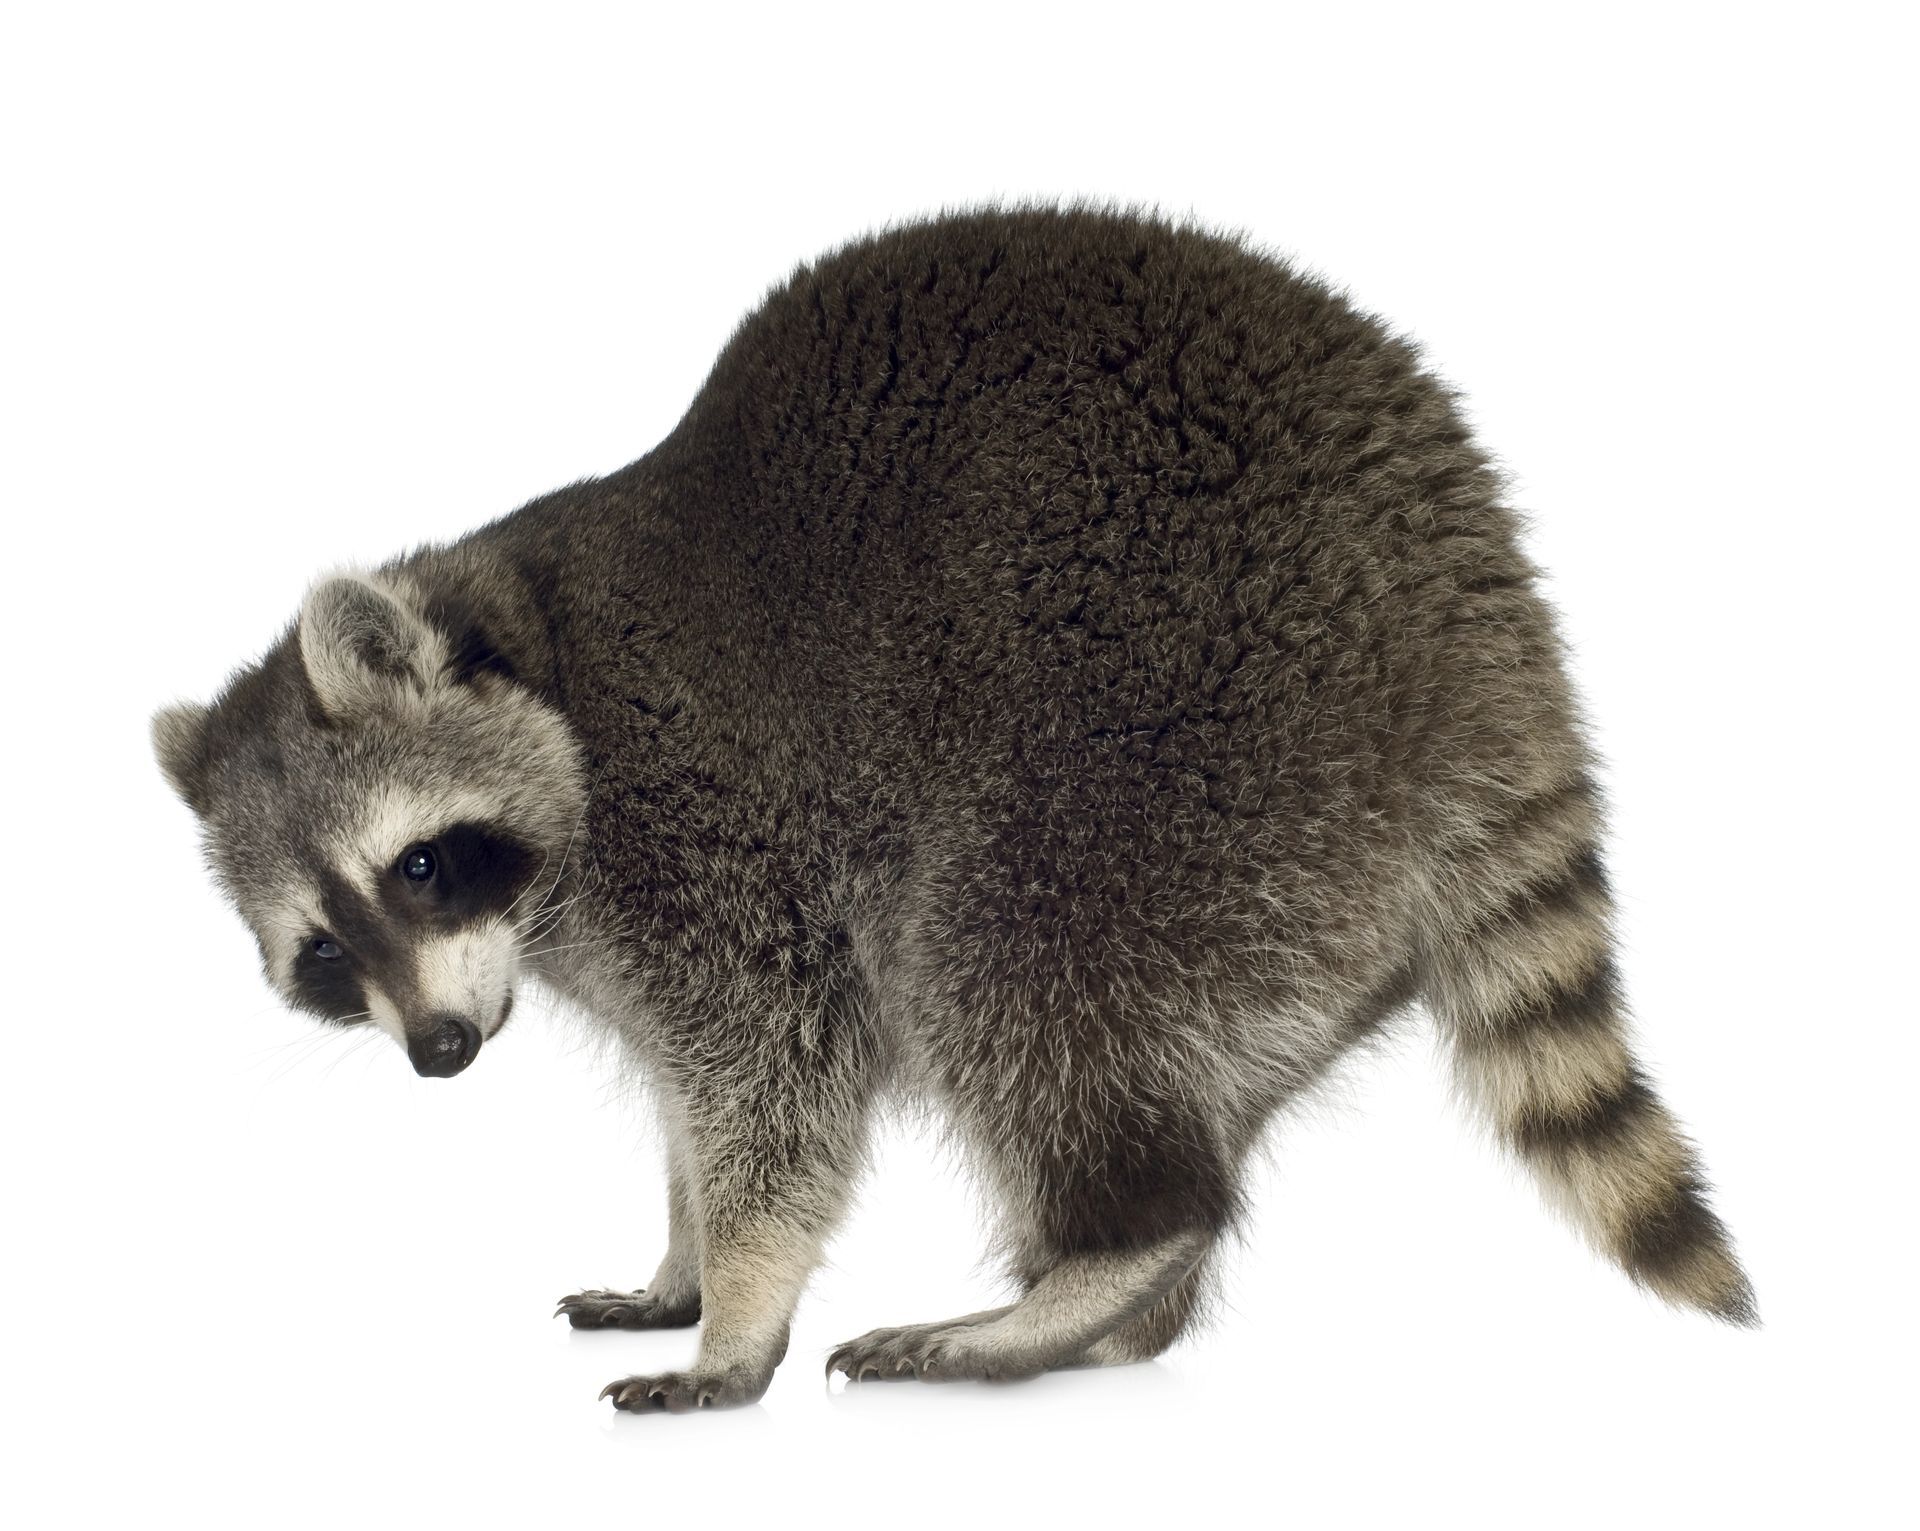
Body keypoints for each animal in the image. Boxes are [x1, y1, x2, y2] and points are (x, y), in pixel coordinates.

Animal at [153, 205, 1754, 1413]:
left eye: (421, 864)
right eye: (320, 951)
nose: (435, 1051)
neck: (531, 639)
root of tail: (1477, 607)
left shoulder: (706, 824)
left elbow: (774, 1066)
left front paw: (739, 1303)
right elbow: (690, 1095)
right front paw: (681, 1251)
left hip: (1187, 733)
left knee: (1005, 967)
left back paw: (1109, 1254)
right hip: (1296, 872)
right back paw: (1122, 1304)